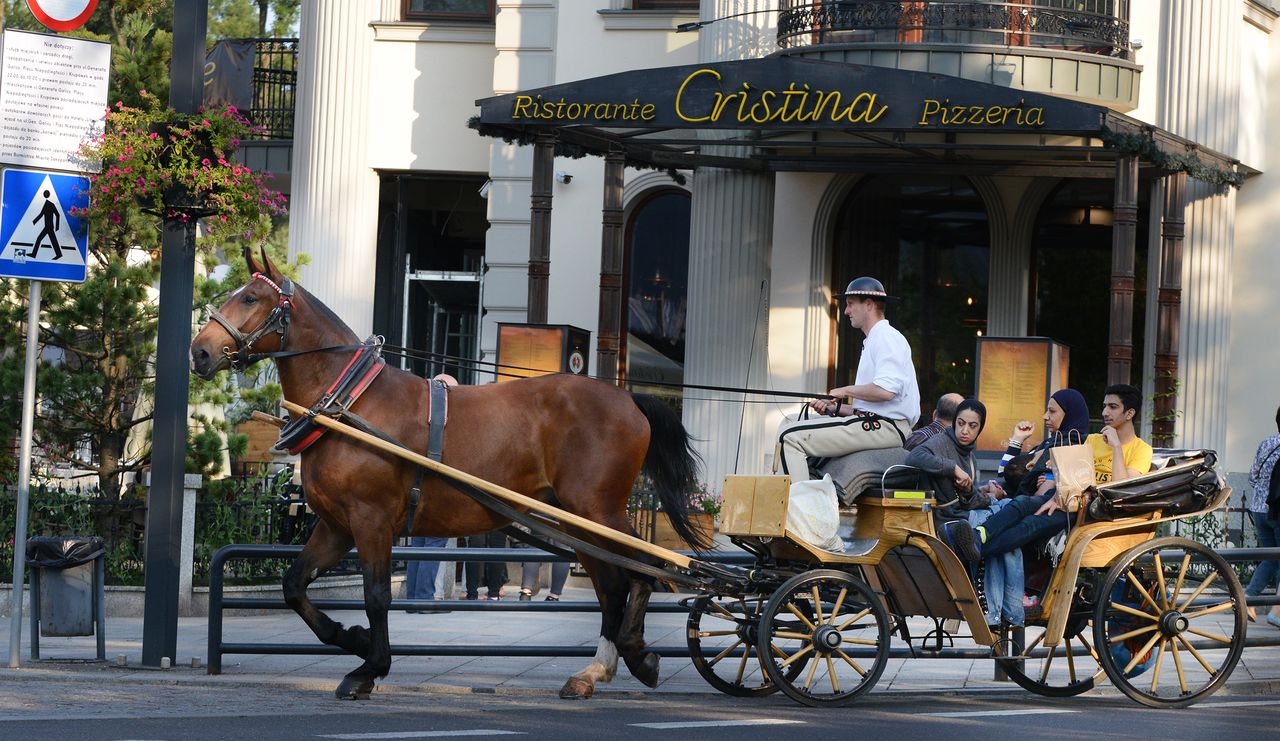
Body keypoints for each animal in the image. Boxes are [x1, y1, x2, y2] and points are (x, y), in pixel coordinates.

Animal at [188, 249, 711, 701]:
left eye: (252, 298)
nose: (200, 352)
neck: (350, 403)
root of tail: (627, 397)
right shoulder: (337, 526)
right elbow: (295, 586)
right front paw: (350, 637)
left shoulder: (371, 520)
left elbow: (377, 596)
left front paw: (369, 666)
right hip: (578, 518)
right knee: (615, 583)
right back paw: (602, 667)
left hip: (597, 510)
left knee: (640, 574)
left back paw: (627, 656)